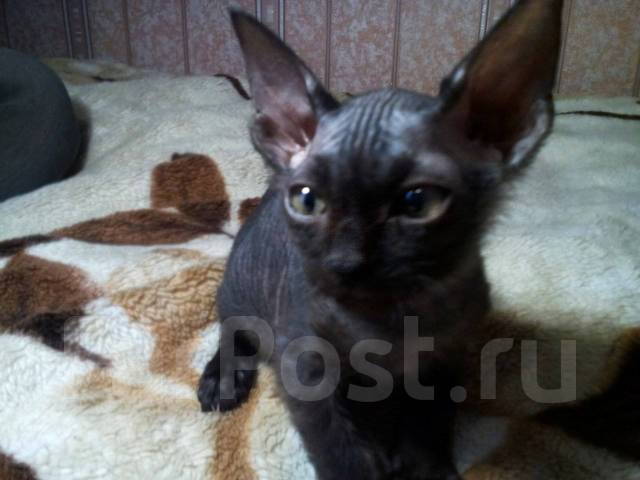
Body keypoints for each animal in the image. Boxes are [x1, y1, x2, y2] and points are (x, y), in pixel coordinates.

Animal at [198, 0, 563, 478]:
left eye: (417, 202)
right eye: (308, 200)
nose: (345, 262)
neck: (393, 324)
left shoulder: (446, 361)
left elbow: (428, 428)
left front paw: (425, 467)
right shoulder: (304, 369)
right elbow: (340, 452)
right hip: (242, 290)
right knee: (231, 326)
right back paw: (223, 377)